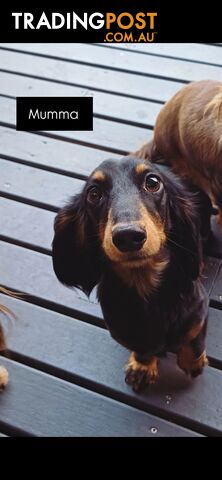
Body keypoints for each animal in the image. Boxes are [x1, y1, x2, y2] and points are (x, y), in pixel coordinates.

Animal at [52, 156, 210, 392]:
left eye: (153, 182)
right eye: (94, 193)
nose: (128, 236)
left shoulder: (199, 308)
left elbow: (194, 336)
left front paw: (193, 362)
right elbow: (143, 348)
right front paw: (142, 367)